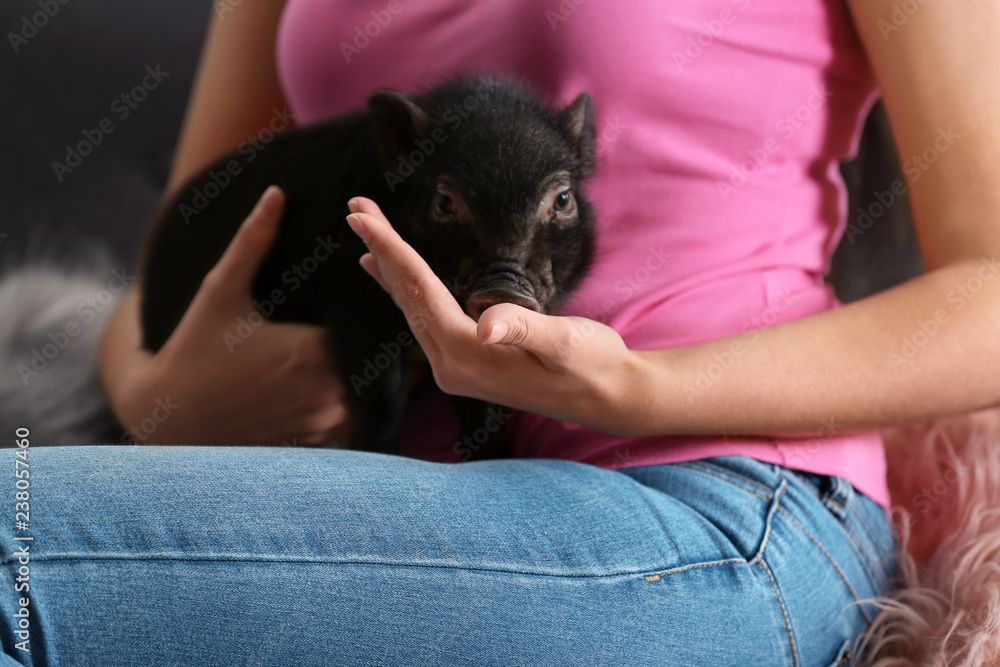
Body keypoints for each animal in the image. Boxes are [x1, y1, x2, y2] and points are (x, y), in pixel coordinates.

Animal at [140, 74, 597, 460]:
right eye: (444, 203)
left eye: (562, 200)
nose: (504, 288)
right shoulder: (353, 297)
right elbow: (381, 393)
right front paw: (382, 456)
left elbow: (481, 394)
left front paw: (493, 459)